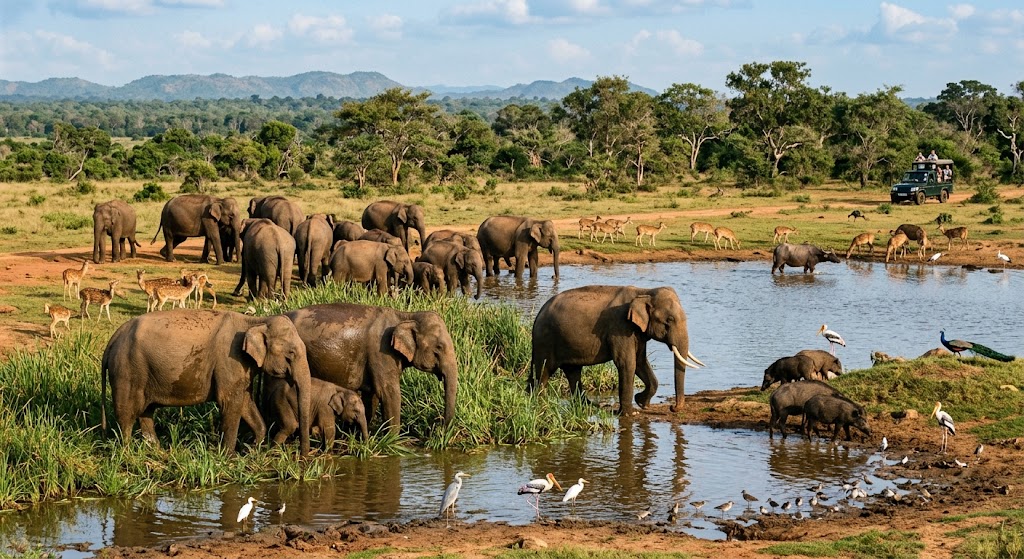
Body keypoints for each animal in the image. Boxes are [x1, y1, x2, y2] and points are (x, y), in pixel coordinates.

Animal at [101, 311, 312, 455]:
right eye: (291, 354)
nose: (303, 458)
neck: (255, 321)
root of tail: (114, 337)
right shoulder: (230, 360)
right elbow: (230, 403)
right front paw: (228, 457)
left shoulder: (241, 367)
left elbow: (245, 401)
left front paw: (252, 449)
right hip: (127, 370)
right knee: (126, 413)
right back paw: (128, 453)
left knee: (146, 412)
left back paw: (156, 452)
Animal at [284, 303, 459, 434]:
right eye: (439, 347)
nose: (437, 429)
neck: (406, 316)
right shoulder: (381, 352)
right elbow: (388, 393)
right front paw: (393, 442)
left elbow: (372, 394)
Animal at [529, 285, 704, 415]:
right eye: (669, 320)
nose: (672, 408)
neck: (644, 291)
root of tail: (538, 314)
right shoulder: (620, 327)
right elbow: (627, 363)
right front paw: (630, 414)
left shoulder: (637, 332)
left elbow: (640, 362)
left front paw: (642, 403)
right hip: (545, 340)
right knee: (544, 371)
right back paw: (540, 403)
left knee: (573, 372)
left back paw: (589, 405)